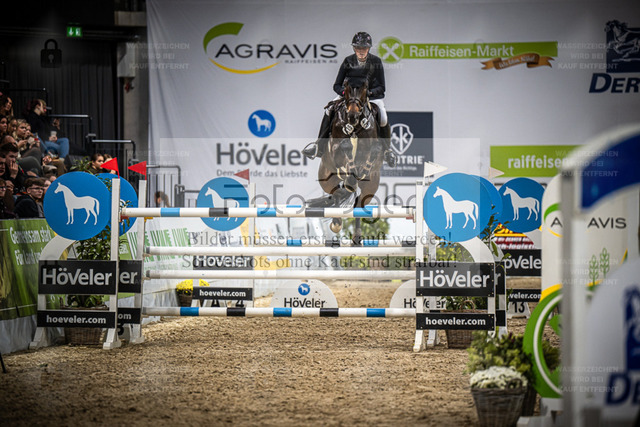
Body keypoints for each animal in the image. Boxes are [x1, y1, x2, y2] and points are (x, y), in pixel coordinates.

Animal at [313, 81, 384, 238]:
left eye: (365, 89)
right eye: (346, 87)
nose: (353, 116)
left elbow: (374, 151)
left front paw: (362, 170)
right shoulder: (335, 150)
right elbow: (345, 150)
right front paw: (351, 175)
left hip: (370, 188)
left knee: (358, 204)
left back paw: (356, 236)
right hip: (327, 180)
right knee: (336, 194)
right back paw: (336, 223)